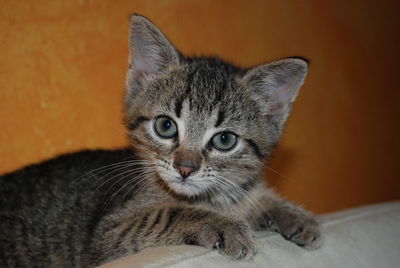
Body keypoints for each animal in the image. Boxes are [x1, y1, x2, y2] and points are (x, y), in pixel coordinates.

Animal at [0, 15, 322, 268]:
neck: (211, 199)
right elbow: (166, 213)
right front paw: (224, 225)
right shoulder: (109, 233)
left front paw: (290, 213)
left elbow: (252, 196)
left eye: (225, 140)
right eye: (165, 126)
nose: (185, 168)